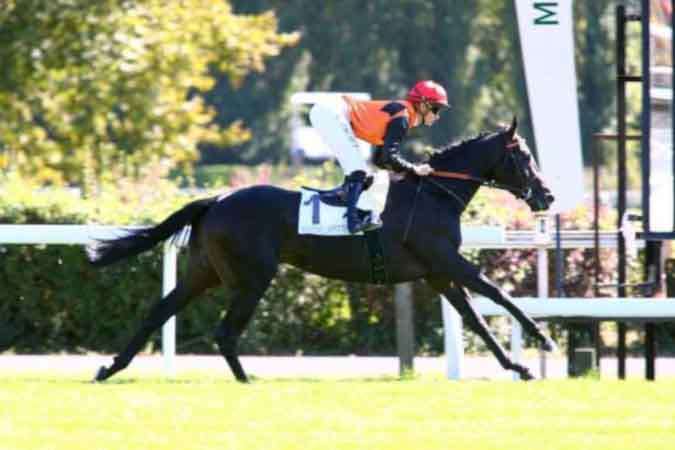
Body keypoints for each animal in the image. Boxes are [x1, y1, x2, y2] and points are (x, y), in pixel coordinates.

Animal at [90, 117, 555, 382]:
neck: (433, 194)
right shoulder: (446, 262)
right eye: (525, 157)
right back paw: (246, 380)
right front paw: (543, 338)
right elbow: (497, 293)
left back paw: (110, 368)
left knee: (159, 311)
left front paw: (518, 366)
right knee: (224, 331)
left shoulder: (438, 272)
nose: (547, 195)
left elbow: (475, 317)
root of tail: (217, 199)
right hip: (253, 276)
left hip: (204, 270)